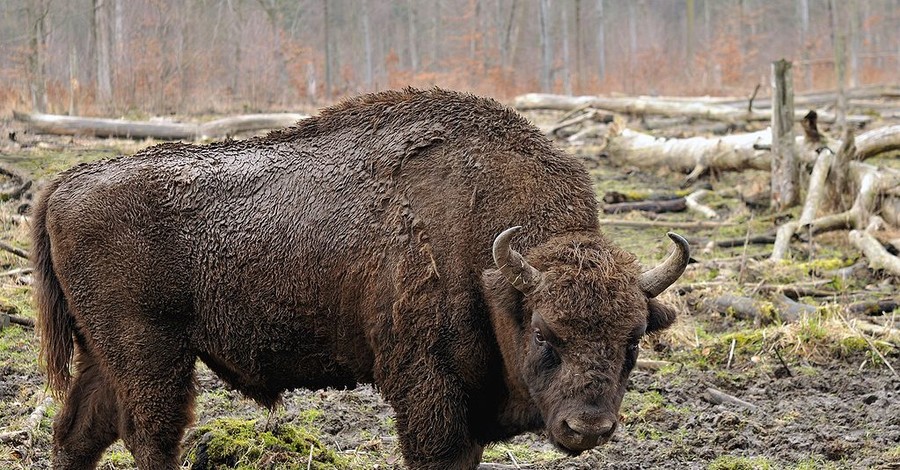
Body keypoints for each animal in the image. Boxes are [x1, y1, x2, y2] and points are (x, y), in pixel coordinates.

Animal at [31, 87, 684, 466]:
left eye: (633, 341)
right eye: (546, 332)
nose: (588, 426)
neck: (492, 264)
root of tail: (65, 183)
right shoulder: (430, 394)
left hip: (105, 354)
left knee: (78, 433)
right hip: (150, 355)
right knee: (149, 436)